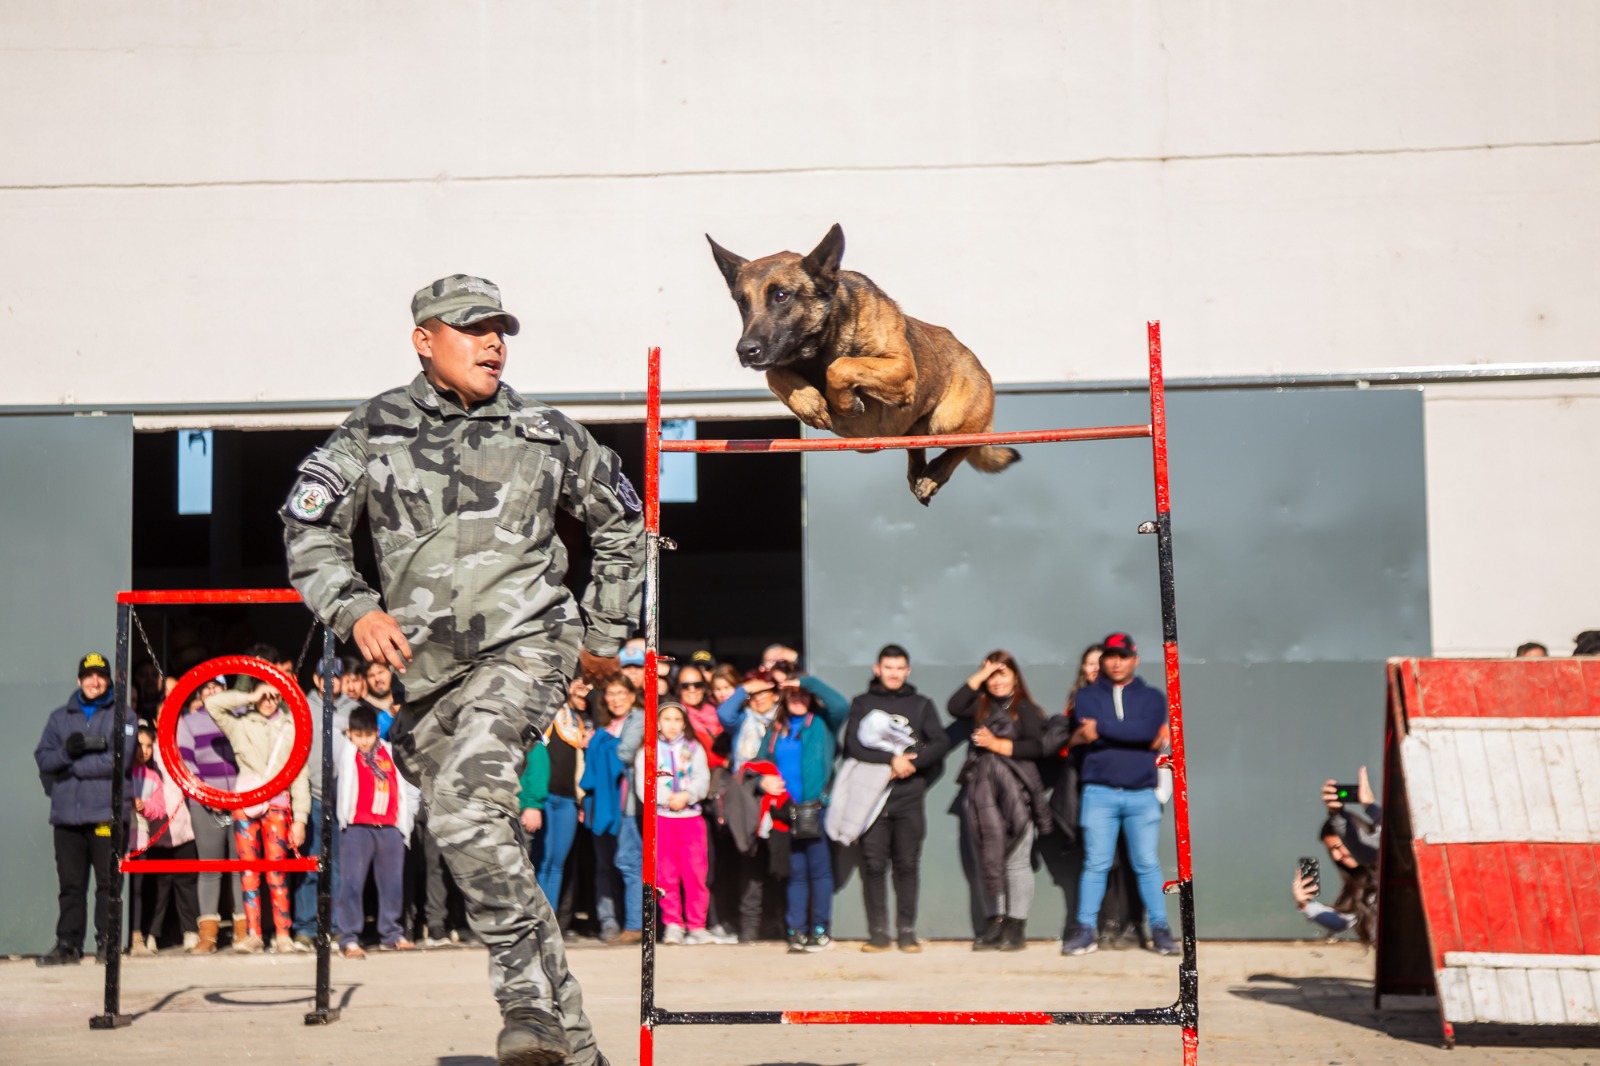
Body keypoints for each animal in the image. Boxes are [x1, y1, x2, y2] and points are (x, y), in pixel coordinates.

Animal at [707, 222, 1017, 505]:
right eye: (741, 302)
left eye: (781, 296)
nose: (745, 351)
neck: (820, 347)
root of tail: (976, 362)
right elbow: (775, 373)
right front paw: (810, 404)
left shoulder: (901, 370)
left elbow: (841, 365)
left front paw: (843, 403)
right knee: (917, 446)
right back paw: (919, 473)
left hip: (948, 421)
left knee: (968, 443)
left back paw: (933, 475)